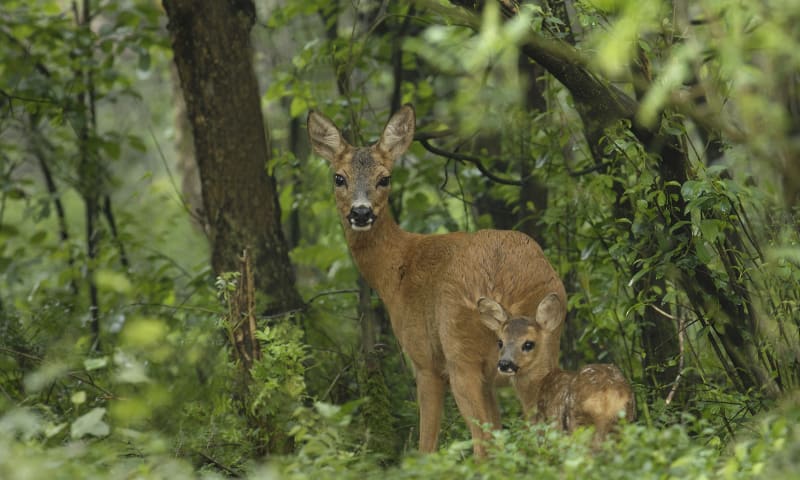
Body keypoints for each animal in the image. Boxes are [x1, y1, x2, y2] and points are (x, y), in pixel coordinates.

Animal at [306, 105, 564, 458]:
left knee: (482, 445)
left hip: (459, 353)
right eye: (338, 178)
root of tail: (503, 281)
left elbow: (426, 445)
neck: (397, 269)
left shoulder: (424, 360)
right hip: (542, 351)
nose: (361, 213)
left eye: (384, 178)